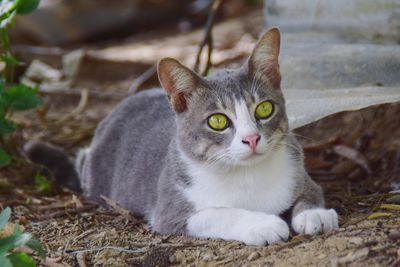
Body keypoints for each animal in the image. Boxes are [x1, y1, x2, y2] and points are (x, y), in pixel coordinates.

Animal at [25, 27, 338, 247]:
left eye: (264, 108)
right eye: (217, 121)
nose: (251, 139)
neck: (245, 174)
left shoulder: (297, 169)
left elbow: (312, 191)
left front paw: (314, 214)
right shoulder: (170, 211)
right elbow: (218, 213)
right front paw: (263, 224)